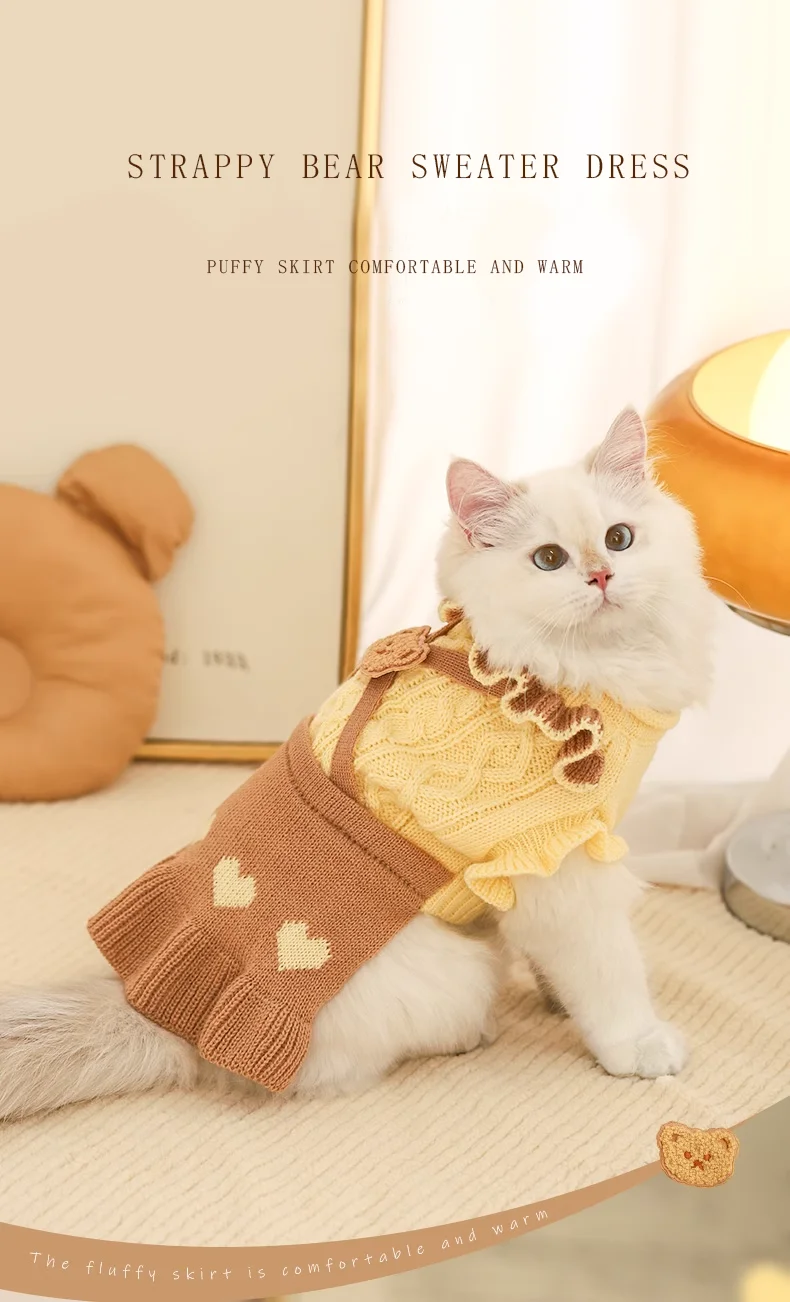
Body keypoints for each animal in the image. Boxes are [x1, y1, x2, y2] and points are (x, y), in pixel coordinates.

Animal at [0, 407, 714, 1120]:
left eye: (619, 539)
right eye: (549, 559)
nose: (601, 575)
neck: (574, 675)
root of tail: (166, 1014)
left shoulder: (563, 853)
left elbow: (567, 972)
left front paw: (557, 1004)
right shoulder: (555, 865)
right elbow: (609, 978)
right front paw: (639, 1049)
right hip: (456, 971)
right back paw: (478, 1034)